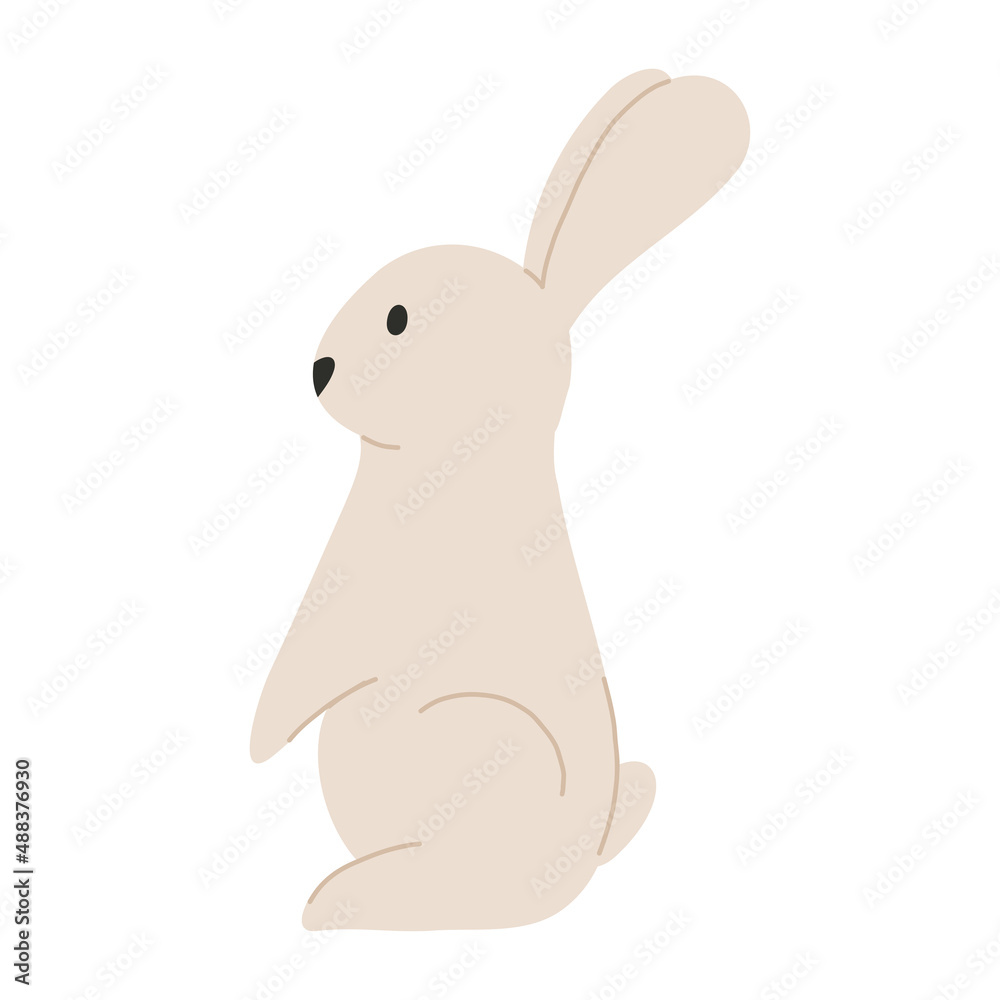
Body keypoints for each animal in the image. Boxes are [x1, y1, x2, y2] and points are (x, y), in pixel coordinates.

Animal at [250, 69, 749, 930]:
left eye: (399, 317)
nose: (318, 371)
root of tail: (572, 873)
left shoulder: (356, 596)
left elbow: (309, 662)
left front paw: (254, 740)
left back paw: (341, 899)